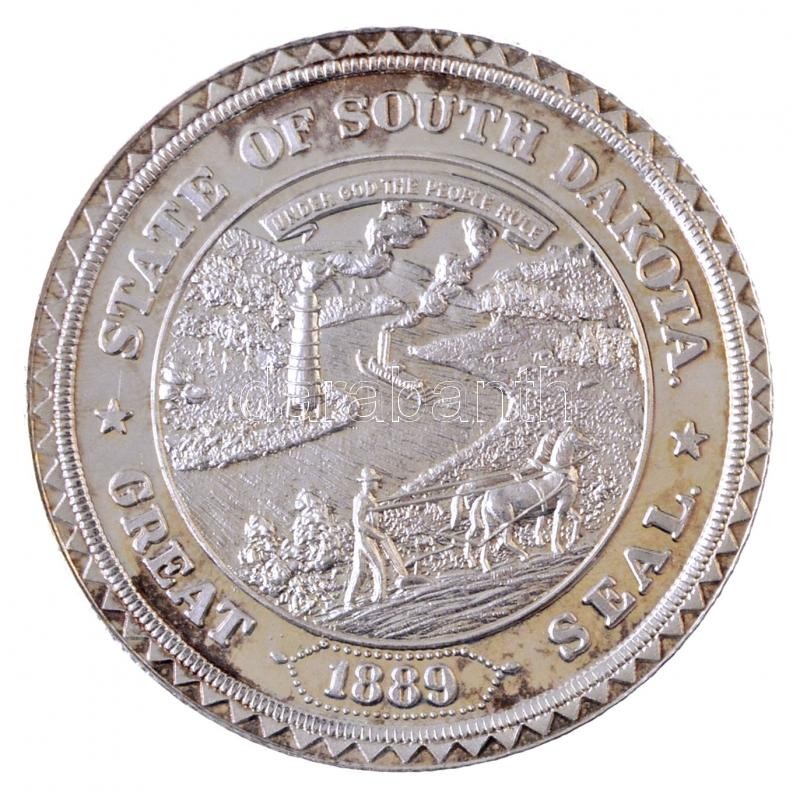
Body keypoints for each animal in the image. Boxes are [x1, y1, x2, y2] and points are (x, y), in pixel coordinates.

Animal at [465, 426, 592, 572]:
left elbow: (578, 519)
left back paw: (486, 566)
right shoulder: (562, 505)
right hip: (507, 519)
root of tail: (486, 494)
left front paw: (571, 542)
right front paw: (558, 549)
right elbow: (557, 525)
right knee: (505, 540)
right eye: (577, 436)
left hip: (491, 523)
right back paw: (524, 556)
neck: (560, 472)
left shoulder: (566, 504)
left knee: (485, 540)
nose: (591, 443)